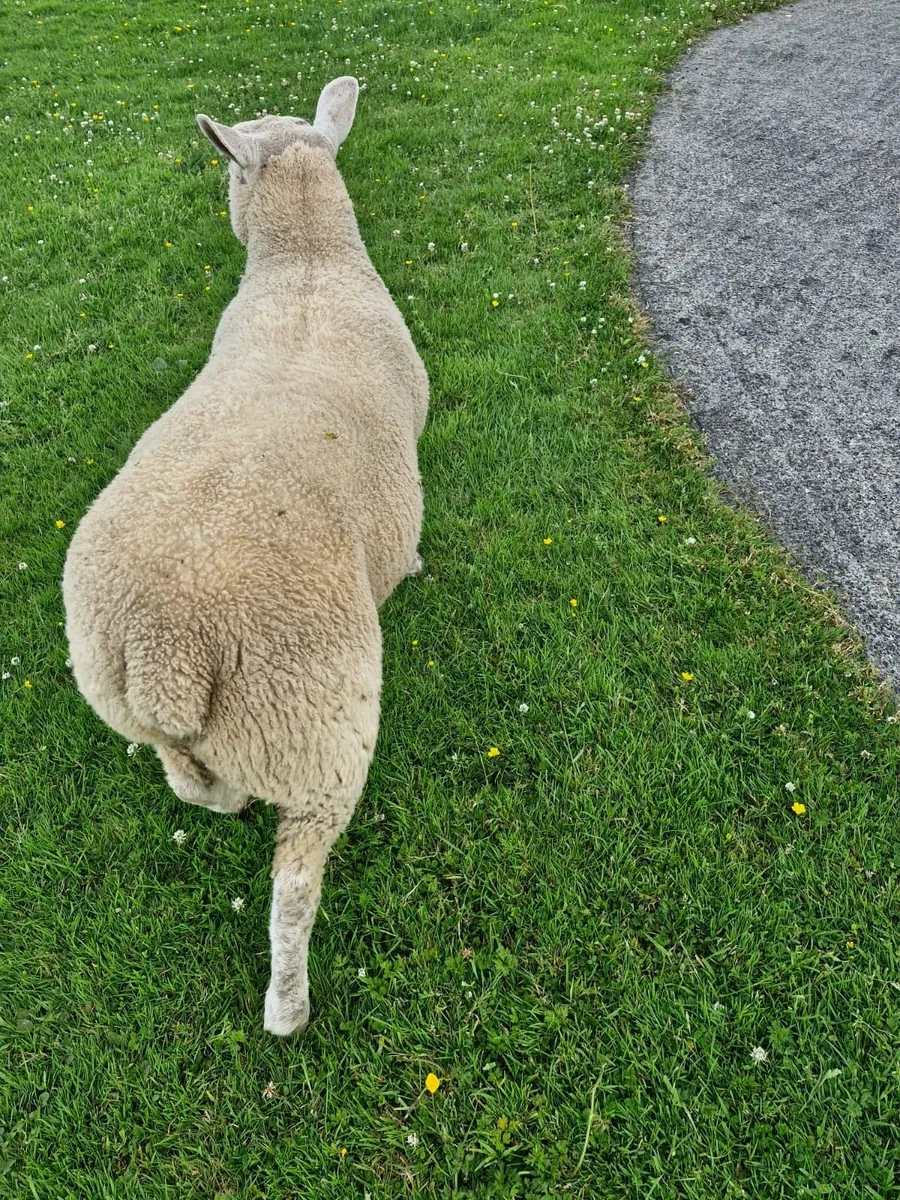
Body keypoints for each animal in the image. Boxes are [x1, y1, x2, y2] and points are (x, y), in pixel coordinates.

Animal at [62, 76, 429, 1036]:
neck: (305, 266)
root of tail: (169, 652)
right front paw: (413, 566)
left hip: (123, 698)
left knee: (189, 782)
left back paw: (220, 793)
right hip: (317, 730)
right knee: (294, 886)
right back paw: (286, 1007)